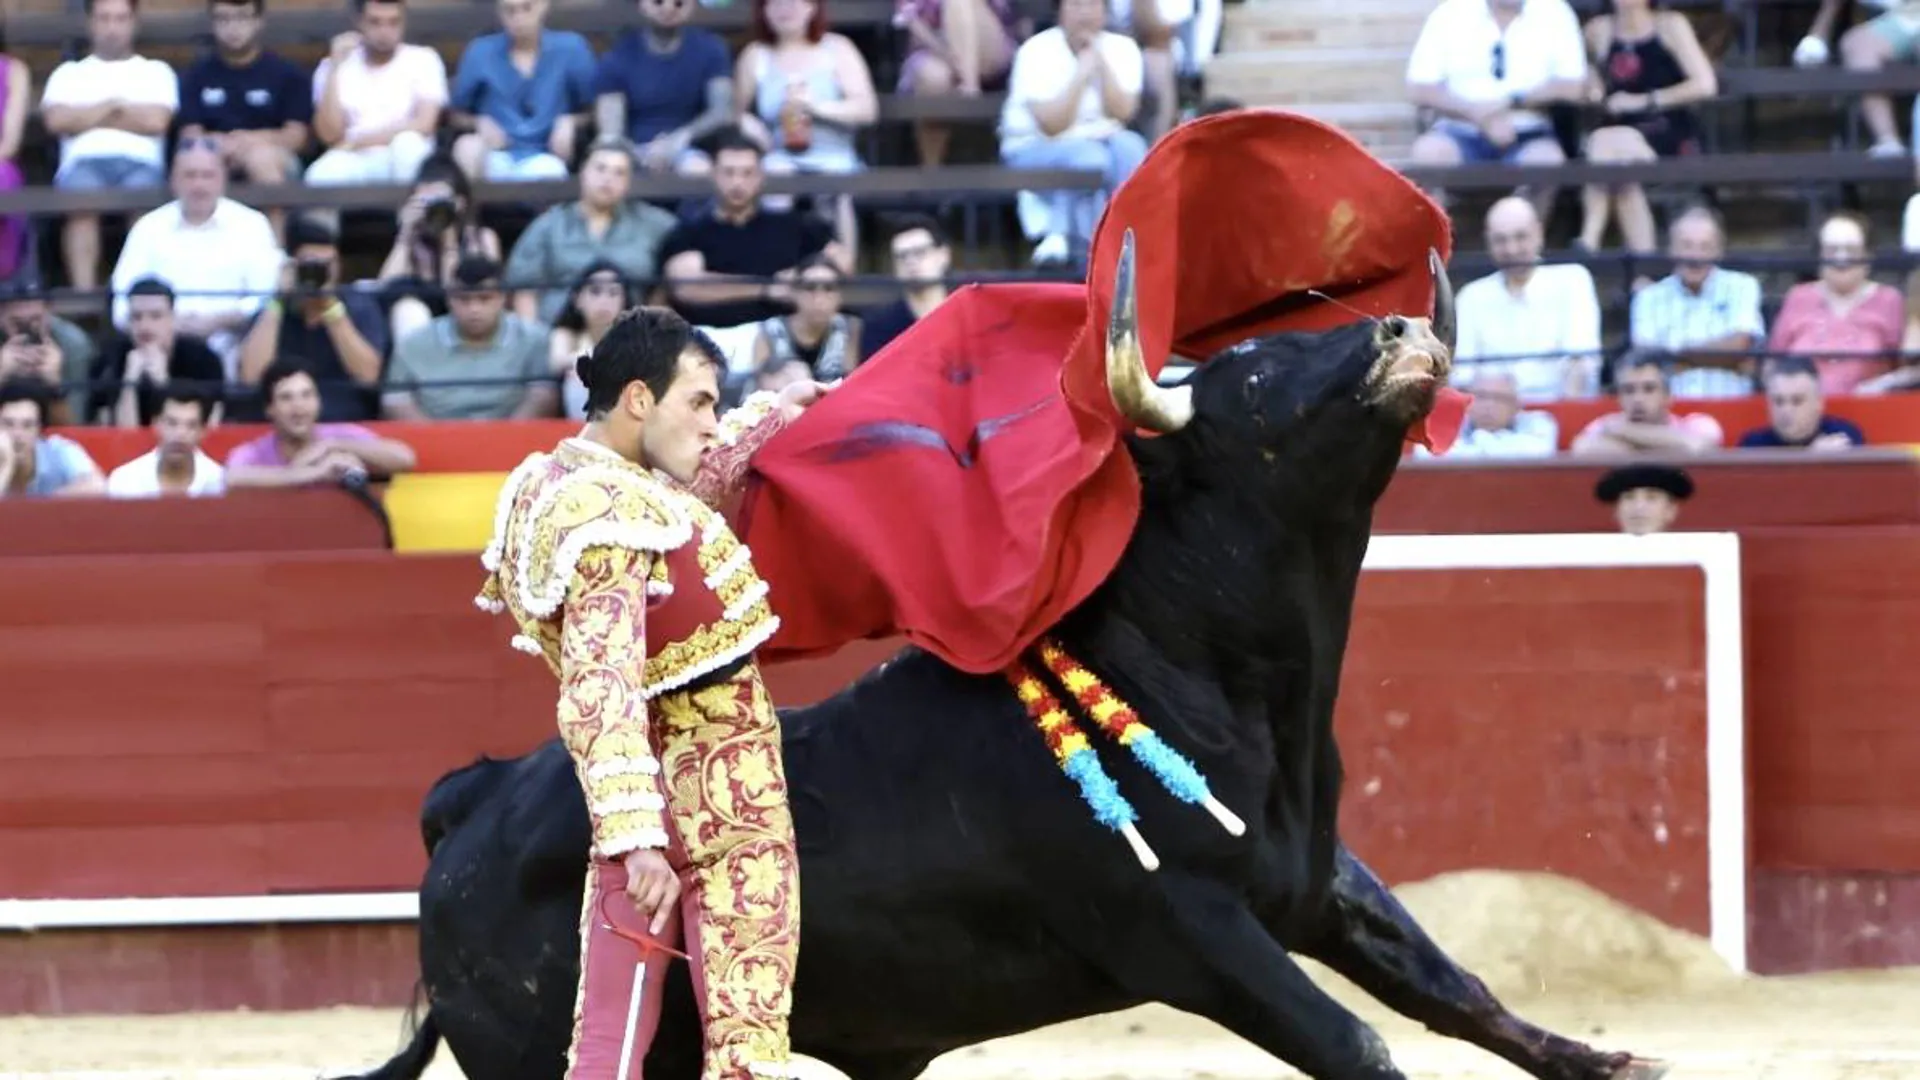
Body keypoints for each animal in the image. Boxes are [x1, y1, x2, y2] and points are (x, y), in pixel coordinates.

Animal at [337, 242, 1674, 1076]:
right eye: (1250, 372)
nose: (1401, 329)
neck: (1220, 683)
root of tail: (468, 805)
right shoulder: (1186, 929)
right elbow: (1360, 1045)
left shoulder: (1315, 884)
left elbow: (1455, 992)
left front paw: (1611, 1059)